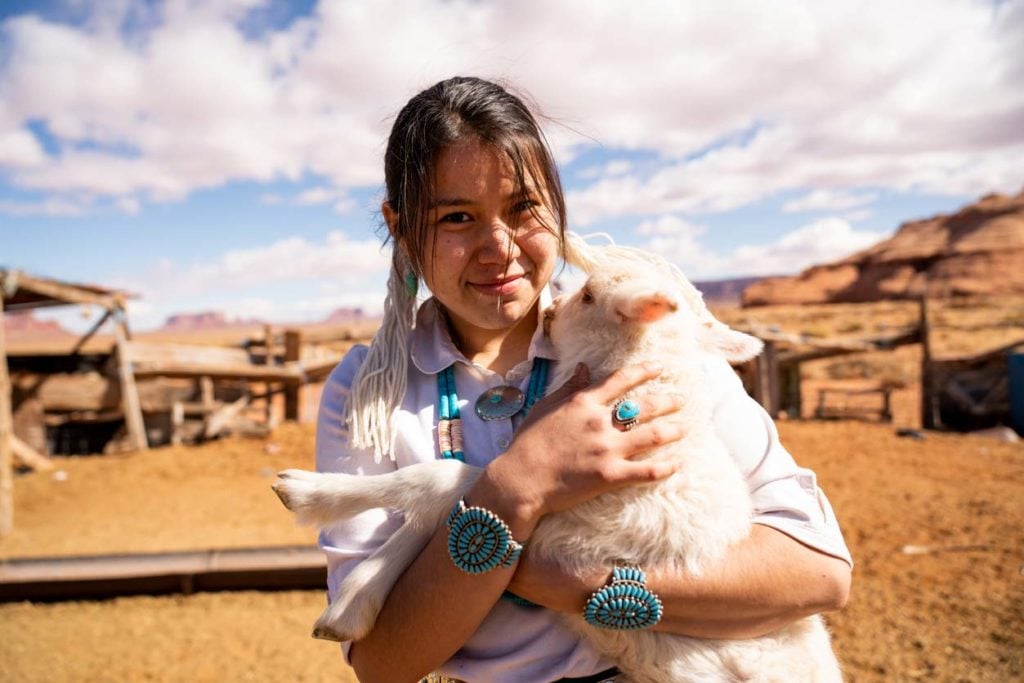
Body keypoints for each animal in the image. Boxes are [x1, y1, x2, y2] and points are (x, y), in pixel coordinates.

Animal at [272, 246, 839, 683]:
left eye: (589, 298)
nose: (550, 310)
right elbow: (440, 512)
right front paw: (350, 607)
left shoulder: (577, 526)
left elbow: (438, 483)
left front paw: (309, 496)